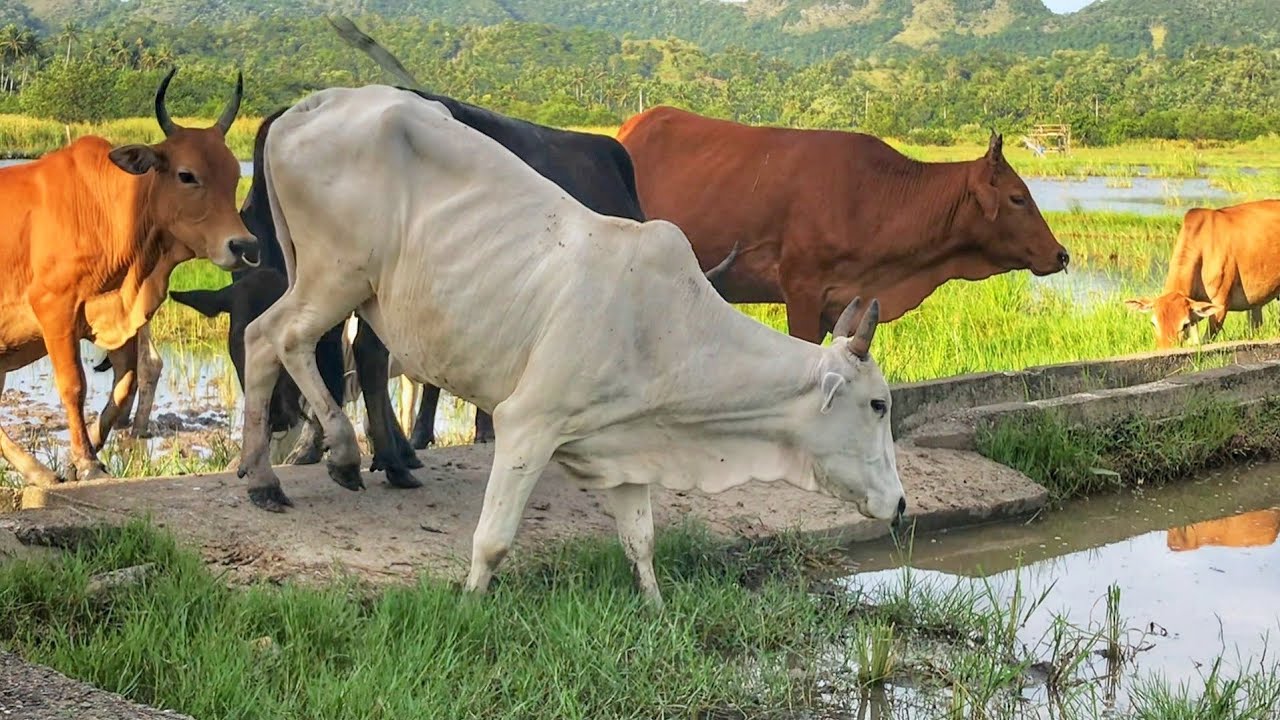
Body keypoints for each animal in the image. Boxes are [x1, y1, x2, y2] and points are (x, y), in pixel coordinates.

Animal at [0, 67, 257, 485]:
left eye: (235, 174)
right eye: (187, 175)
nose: (244, 245)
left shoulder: (117, 317)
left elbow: (127, 383)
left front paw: (86, 450)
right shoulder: (54, 308)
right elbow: (73, 385)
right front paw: (86, 461)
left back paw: (40, 472)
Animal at [237, 85, 906, 604]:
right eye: (878, 404)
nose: (900, 505)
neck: (671, 333)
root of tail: (309, 106)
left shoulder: (626, 446)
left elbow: (641, 543)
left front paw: (656, 612)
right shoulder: (527, 422)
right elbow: (493, 540)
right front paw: (468, 608)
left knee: (265, 341)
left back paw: (262, 479)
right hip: (337, 276)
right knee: (278, 337)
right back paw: (338, 454)